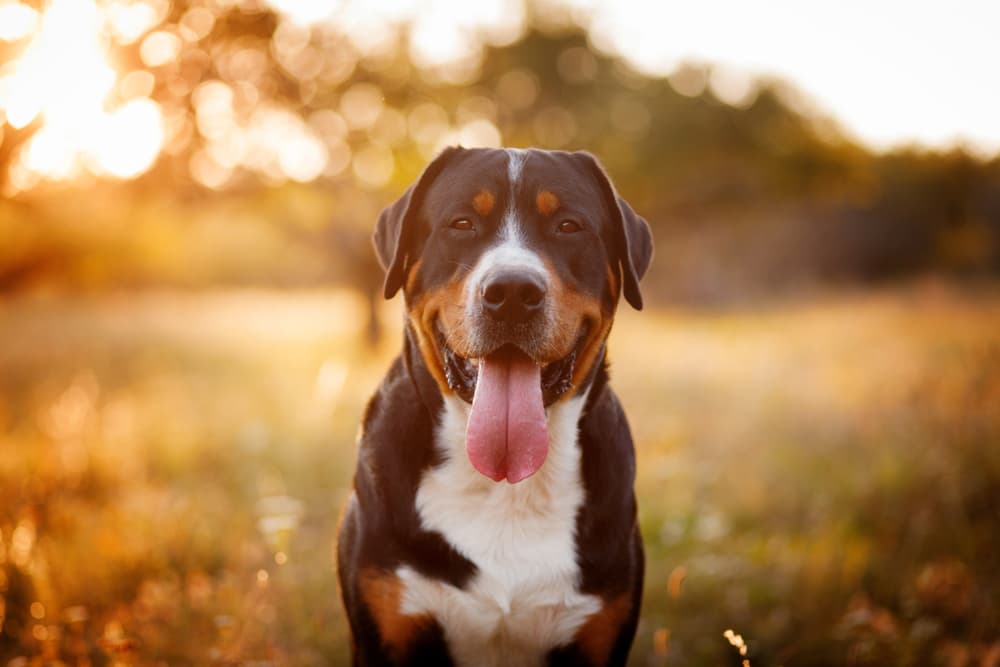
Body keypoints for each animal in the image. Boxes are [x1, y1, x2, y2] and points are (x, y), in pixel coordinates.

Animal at [336, 147, 652, 667]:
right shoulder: (386, 625)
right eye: (462, 223)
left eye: (568, 226)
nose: (512, 293)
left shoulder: (601, 632)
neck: (504, 489)